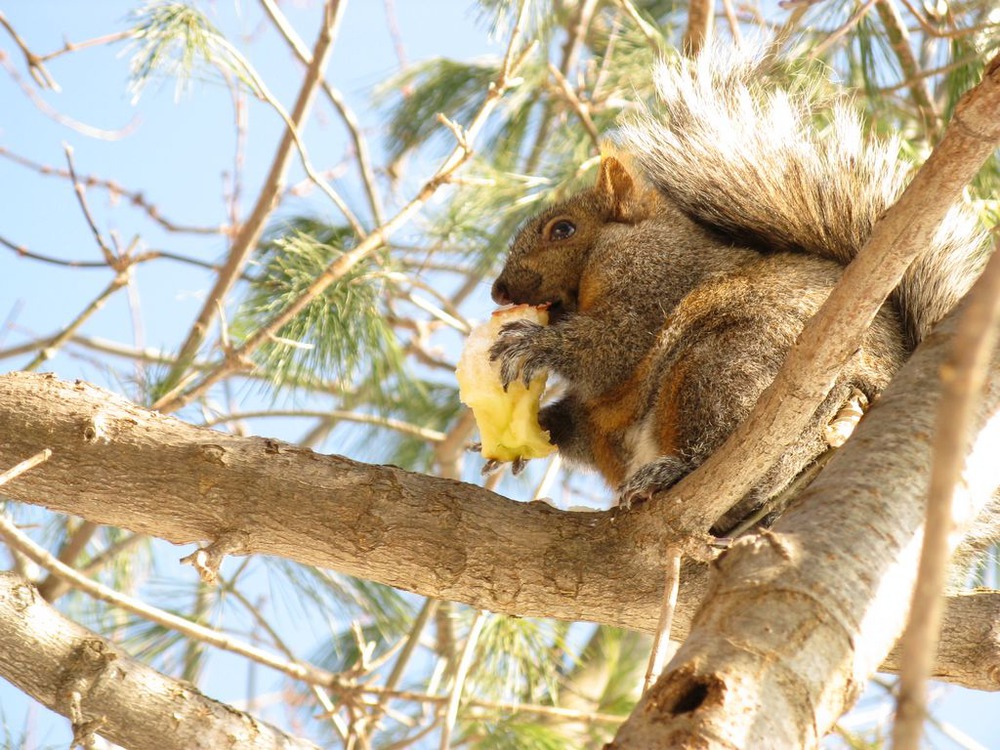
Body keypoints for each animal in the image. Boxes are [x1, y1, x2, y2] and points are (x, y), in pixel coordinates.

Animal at [484, 47, 984, 536]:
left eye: (563, 229)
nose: (499, 290)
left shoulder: (652, 283)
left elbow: (613, 349)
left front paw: (533, 344)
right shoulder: (598, 413)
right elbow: (581, 415)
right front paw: (535, 426)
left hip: (726, 372)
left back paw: (673, 473)